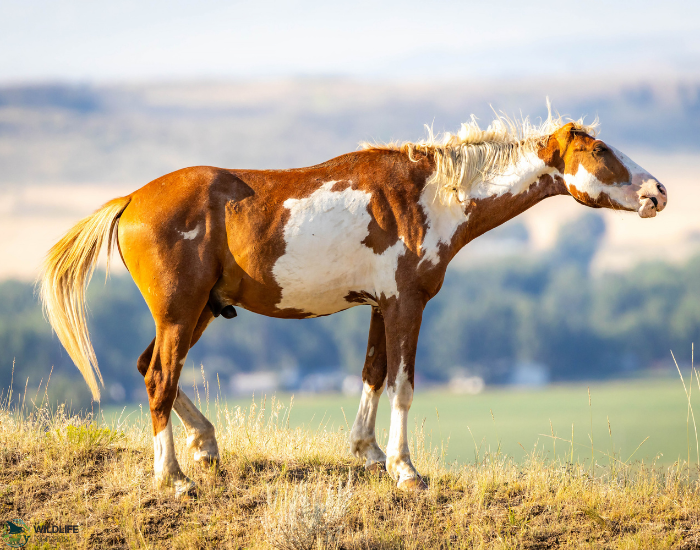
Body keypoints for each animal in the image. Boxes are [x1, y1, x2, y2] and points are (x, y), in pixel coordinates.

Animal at [40, 111, 668, 495]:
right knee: (159, 380)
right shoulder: (407, 305)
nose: (658, 191)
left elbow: (372, 374)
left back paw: (206, 445)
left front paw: (367, 453)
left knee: (149, 367)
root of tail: (130, 200)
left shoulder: (378, 305)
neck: (429, 196)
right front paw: (405, 470)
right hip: (179, 311)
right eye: (601, 149)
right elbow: (404, 385)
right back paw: (172, 478)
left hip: (199, 312)